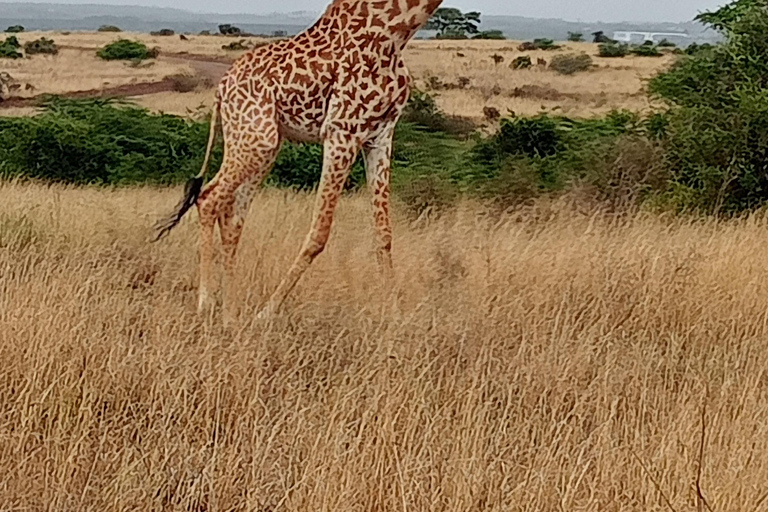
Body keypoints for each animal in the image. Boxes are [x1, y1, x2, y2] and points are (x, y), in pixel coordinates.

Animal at [156, 0, 444, 322]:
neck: (396, 32)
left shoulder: (379, 136)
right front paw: (266, 314)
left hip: (261, 145)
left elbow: (383, 233)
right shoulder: (341, 132)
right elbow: (319, 234)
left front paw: (395, 317)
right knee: (209, 198)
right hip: (255, 138)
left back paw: (230, 314)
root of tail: (220, 89)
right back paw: (206, 305)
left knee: (232, 216)